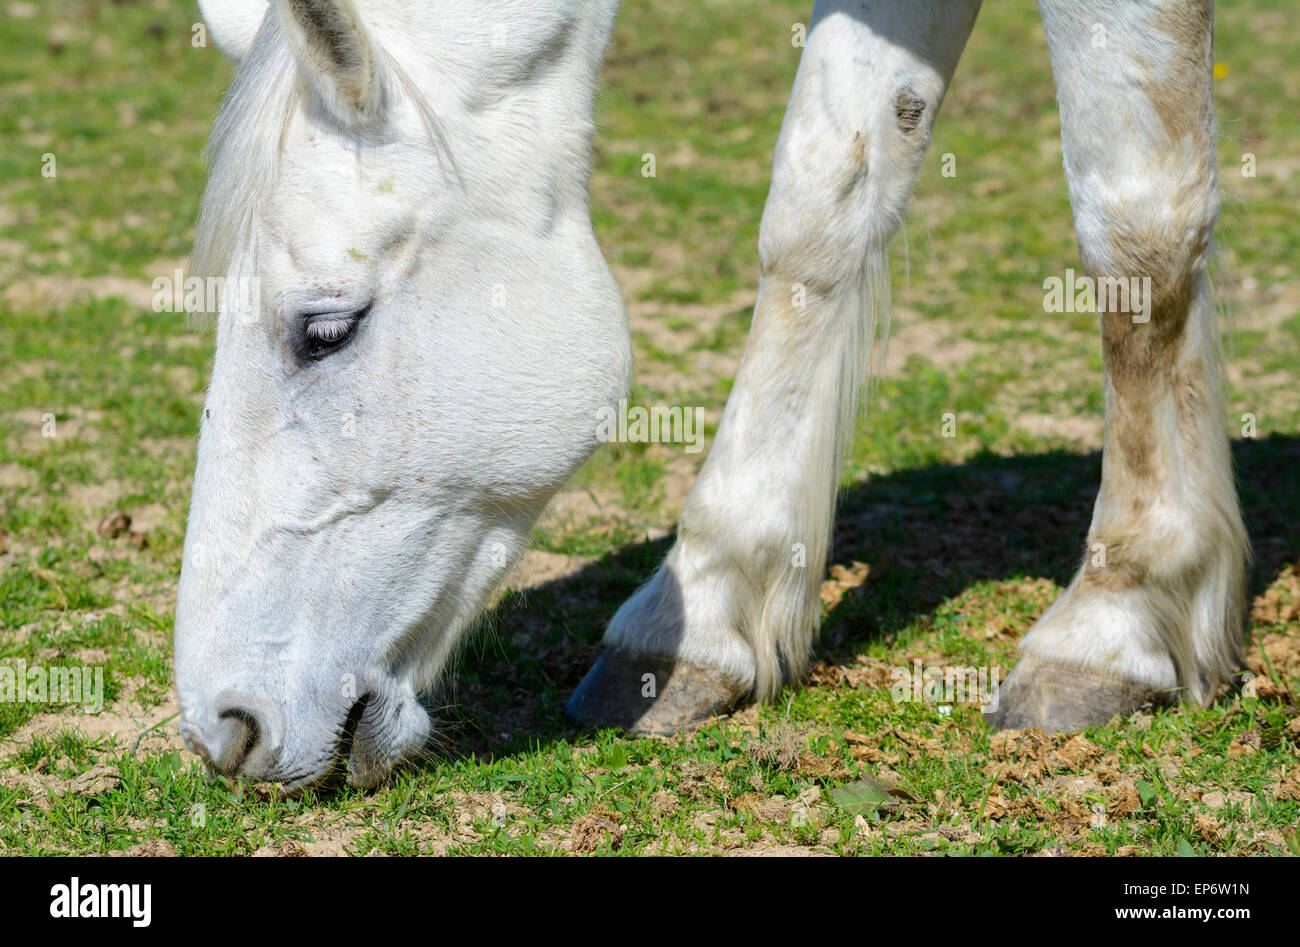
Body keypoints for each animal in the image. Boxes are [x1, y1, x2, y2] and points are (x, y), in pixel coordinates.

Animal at [175, 0, 1247, 791]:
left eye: (325, 329)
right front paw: (711, 600)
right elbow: (821, 205)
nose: (224, 727)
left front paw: (1117, 613)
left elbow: (1138, 221)